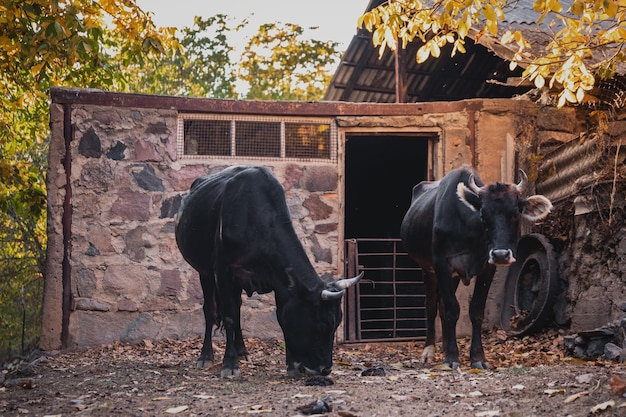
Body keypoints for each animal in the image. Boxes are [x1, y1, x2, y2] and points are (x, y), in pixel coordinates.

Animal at [174, 165, 360, 376]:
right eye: (321, 324)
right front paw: (229, 364)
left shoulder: (281, 284)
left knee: (237, 308)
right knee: (211, 310)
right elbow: (228, 317)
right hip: (204, 271)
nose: (324, 369)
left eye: (337, 323)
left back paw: (242, 351)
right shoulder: (223, 271)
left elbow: (280, 317)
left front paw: (291, 365)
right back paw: (206, 356)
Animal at [400, 165, 552, 368]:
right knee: (432, 305)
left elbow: (476, 310)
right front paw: (452, 357)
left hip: (453, 276)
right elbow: (452, 309)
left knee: (441, 306)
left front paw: (478, 357)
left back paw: (445, 345)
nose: (501, 254)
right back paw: (429, 351)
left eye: (515, 213)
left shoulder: (487, 267)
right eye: (483, 214)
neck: (468, 231)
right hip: (427, 269)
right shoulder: (442, 265)